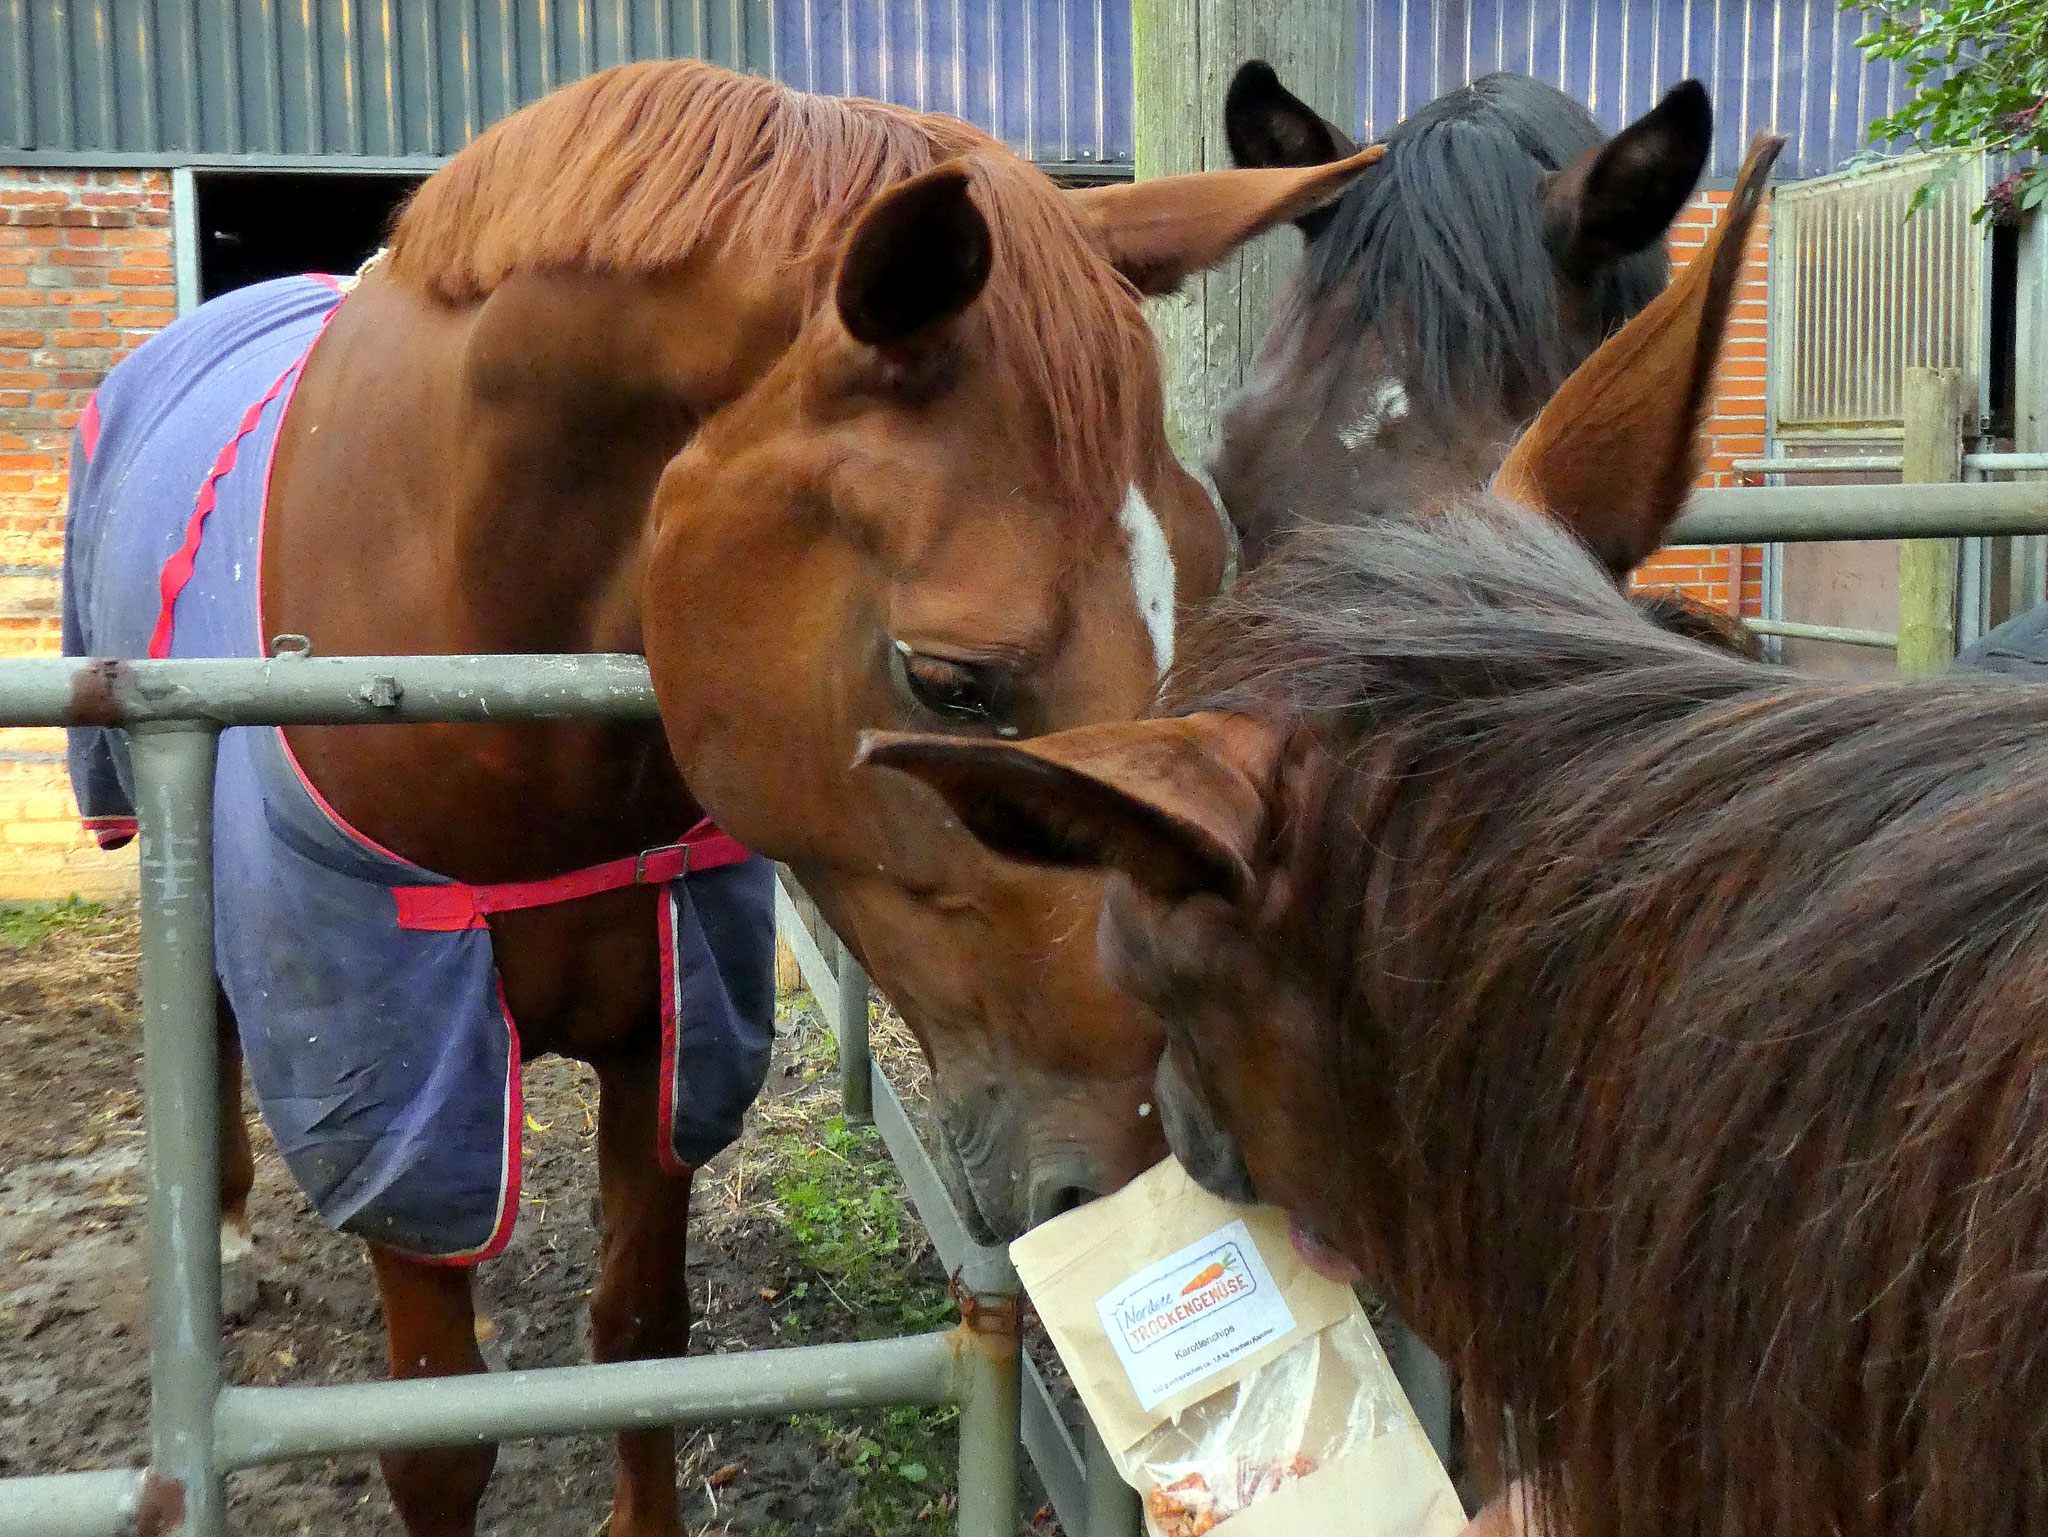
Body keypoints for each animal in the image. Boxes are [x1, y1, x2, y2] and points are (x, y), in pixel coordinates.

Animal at [64, 60, 1384, 1537]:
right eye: (949, 681)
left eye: (1210, 582)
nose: (1145, 1165)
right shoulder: (398, 1087)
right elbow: (437, 1434)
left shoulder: (669, 1035)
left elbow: (640, 1339)